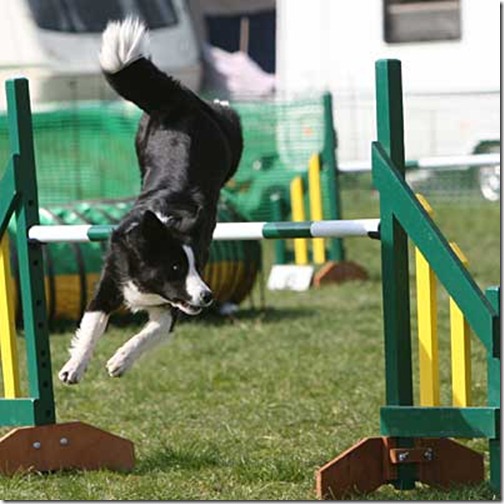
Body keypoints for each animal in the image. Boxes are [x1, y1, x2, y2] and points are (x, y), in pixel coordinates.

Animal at [58, 17, 243, 384]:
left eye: (196, 266)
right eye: (175, 267)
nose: (208, 296)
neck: (164, 222)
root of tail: (178, 102)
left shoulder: (174, 304)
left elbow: (153, 331)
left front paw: (120, 360)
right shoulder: (110, 279)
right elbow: (92, 324)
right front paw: (75, 367)